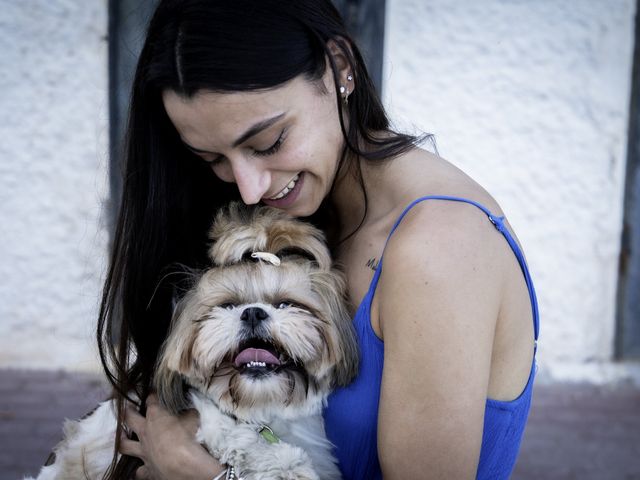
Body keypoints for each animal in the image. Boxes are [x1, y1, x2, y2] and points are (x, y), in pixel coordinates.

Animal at [27, 203, 360, 480]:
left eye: (285, 304)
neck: (260, 410)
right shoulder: (211, 423)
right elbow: (238, 439)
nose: (253, 312)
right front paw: (287, 464)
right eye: (227, 305)